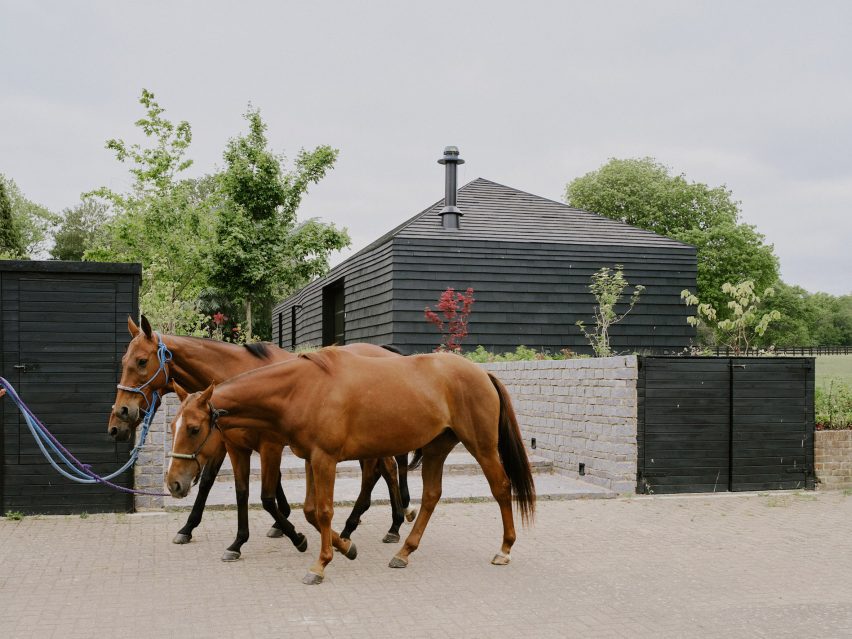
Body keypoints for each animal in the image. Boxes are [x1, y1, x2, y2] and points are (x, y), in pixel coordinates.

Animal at [109, 316, 415, 558]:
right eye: (124, 361)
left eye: (141, 361)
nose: (120, 414)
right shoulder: (232, 443)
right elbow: (233, 489)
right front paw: (212, 533)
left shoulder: (267, 445)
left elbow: (263, 494)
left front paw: (292, 532)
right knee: (384, 470)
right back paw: (390, 523)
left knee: (383, 470)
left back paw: (374, 525)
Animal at [167, 347, 535, 585]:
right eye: (173, 426)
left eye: (194, 428)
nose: (174, 484)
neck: (303, 388)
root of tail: (482, 372)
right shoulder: (311, 458)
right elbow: (310, 511)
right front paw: (346, 547)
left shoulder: (325, 459)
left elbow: (324, 511)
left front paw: (320, 564)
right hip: (436, 448)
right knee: (431, 496)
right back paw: (404, 551)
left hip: (481, 446)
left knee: (501, 487)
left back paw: (504, 548)